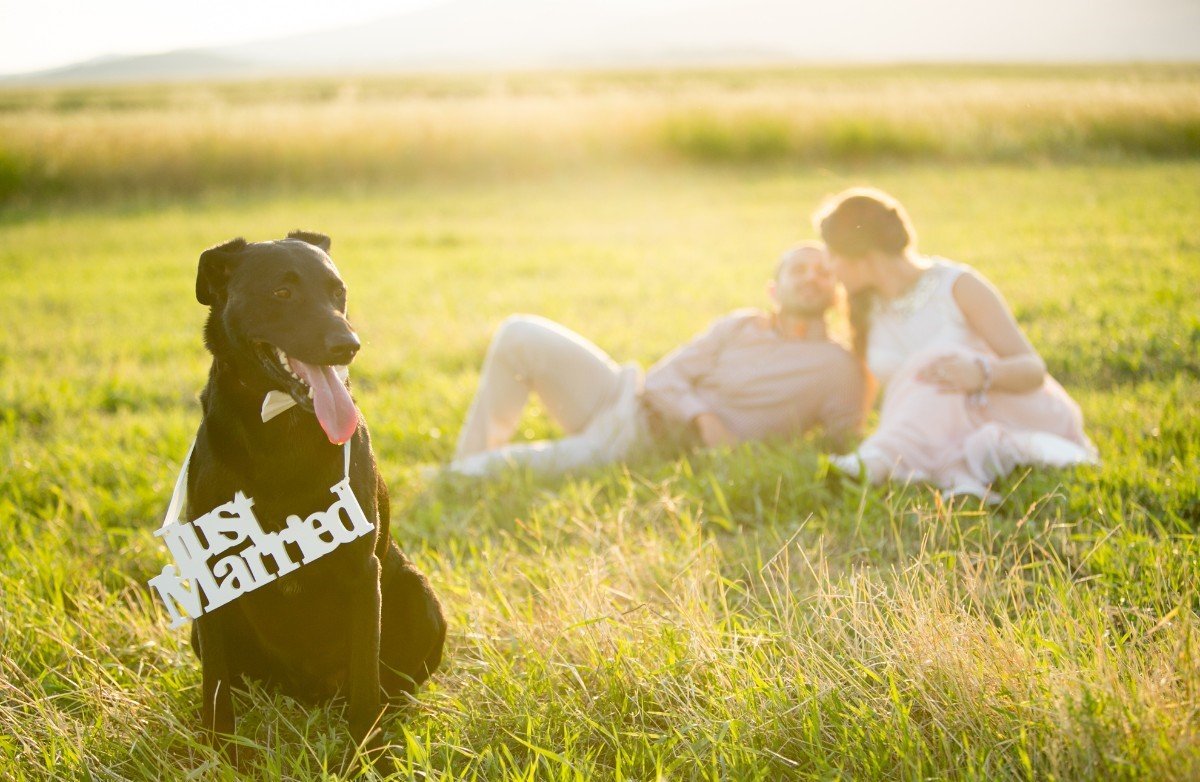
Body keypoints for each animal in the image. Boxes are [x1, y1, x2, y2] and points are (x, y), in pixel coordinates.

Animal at [184, 230, 448, 762]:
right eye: (282, 293)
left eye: (337, 291)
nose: (348, 346)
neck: (282, 424)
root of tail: (309, 694)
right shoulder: (212, 576)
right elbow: (215, 686)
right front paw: (222, 753)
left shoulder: (363, 572)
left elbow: (366, 679)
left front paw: (368, 755)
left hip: (418, 593)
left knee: (389, 685)